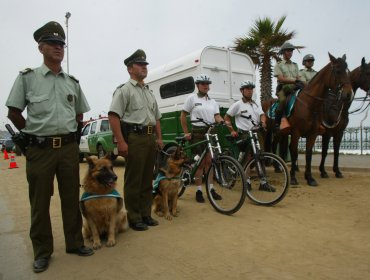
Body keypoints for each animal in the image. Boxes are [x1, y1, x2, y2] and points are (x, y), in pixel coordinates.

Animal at [286, 53, 352, 187]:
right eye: (338, 71)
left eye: (347, 71)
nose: (348, 94)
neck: (308, 104)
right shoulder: (296, 132)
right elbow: (295, 153)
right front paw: (294, 178)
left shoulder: (314, 133)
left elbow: (309, 154)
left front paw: (309, 177)